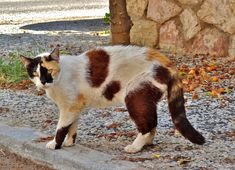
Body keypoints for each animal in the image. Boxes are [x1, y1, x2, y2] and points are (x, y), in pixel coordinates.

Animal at [20, 45, 205, 153]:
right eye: (35, 74)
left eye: (49, 72)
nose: (43, 82)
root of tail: (166, 61)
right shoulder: (75, 107)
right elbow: (72, 127)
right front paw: (70, 143)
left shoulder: (68, 107)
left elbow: (61, 128)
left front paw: (55, 144)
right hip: (145, 99)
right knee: (152, 122)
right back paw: (146, 144)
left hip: (134, 97)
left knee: (147, 124)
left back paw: (135, 147)